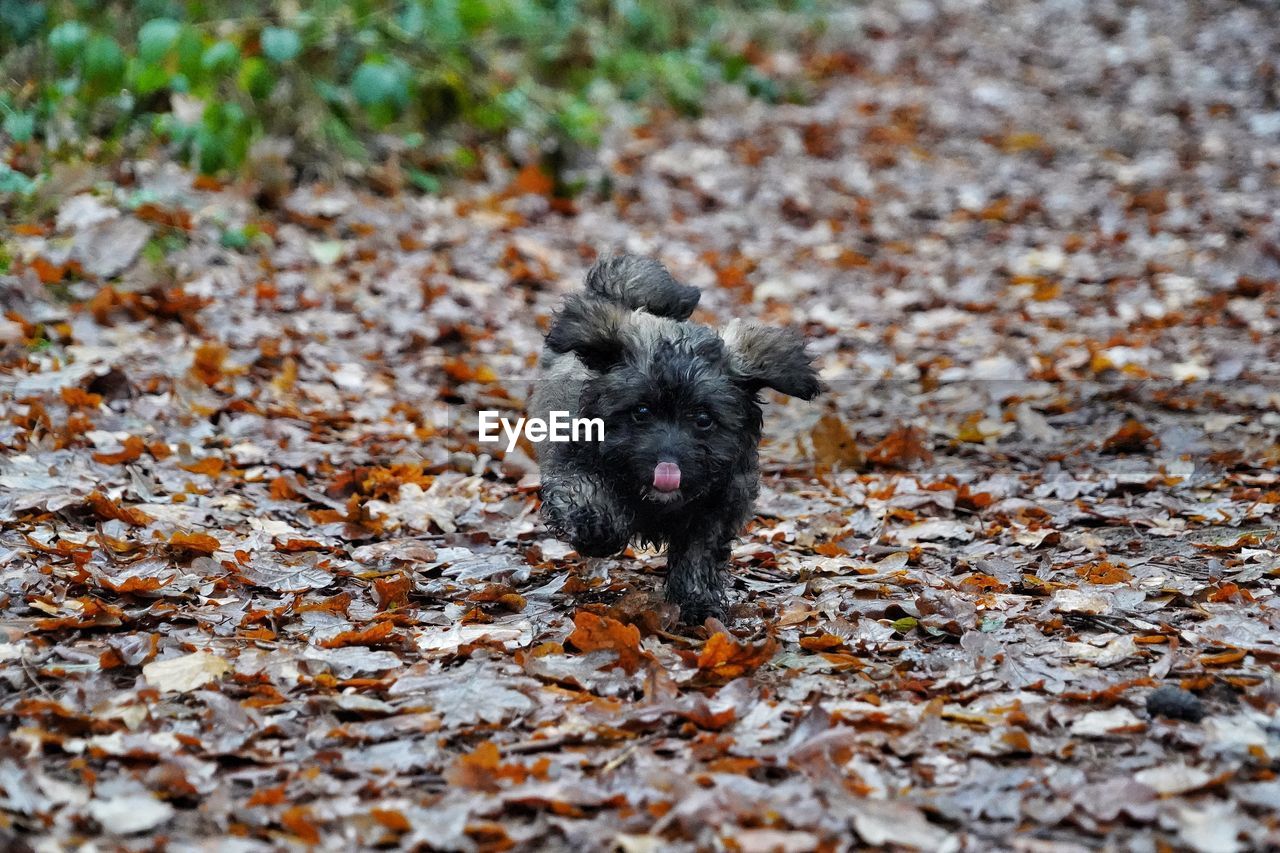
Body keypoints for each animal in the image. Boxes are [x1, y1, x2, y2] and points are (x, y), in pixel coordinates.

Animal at [527, 252, 819, 617]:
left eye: (704, 419)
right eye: (640, 412)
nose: (667, 467)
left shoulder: (719, 505)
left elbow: (699, 554)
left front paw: (698, 601)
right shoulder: (573, 460)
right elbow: (586, 493)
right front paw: (598, 528)